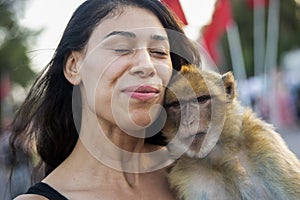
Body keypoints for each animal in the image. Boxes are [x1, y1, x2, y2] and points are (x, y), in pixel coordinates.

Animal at [162, 65, 300, 199]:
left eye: (202, 99)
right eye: (176, 105)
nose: (188, 121)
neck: (221, 154)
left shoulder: (264, 145)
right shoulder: (190, 176)